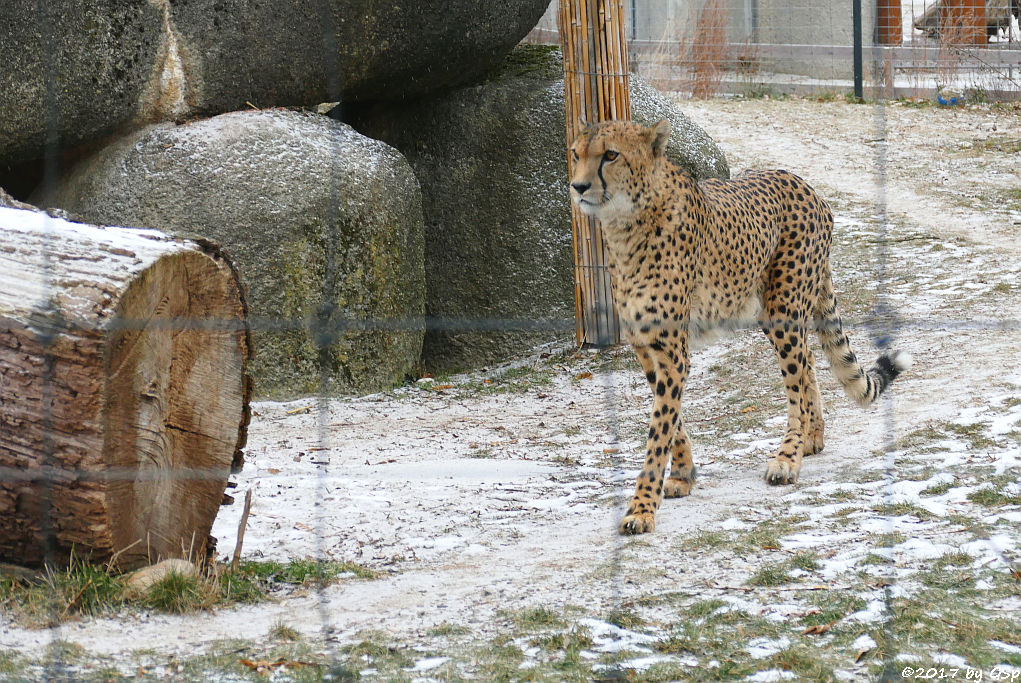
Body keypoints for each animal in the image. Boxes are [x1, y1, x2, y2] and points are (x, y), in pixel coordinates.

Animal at [571, 119, 914, 534]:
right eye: (576, 153)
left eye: (610, 154)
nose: (578, 186)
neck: (625, 223)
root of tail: (804, 183)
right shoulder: (647, 347)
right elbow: (672, 420)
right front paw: (683, 475)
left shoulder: (673, 351)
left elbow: (659, 431)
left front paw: (641, 509)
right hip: (773, 309)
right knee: (808, 363)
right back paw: (812, 438)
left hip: (783, 310)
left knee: (797, 381)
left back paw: (788, 458)